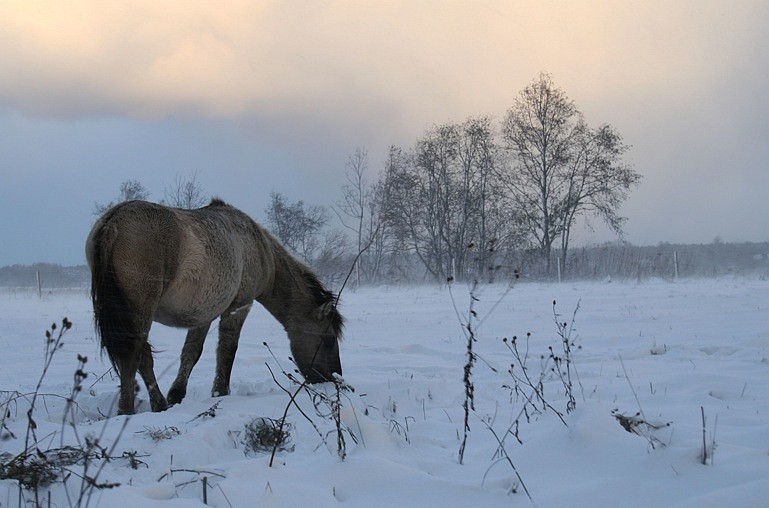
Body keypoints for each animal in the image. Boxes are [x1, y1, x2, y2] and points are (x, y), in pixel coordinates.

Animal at [85, 196, 344, 414]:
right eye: (329, 339)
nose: (334, 378)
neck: (259, 248)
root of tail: (113, 221)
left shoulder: (203, 314)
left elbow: (191, 353)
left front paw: (177, 395)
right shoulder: (239, 306)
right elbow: (227, 351)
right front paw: (220, 392)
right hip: (140, 312)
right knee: (137, 357)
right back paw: (139, 407)